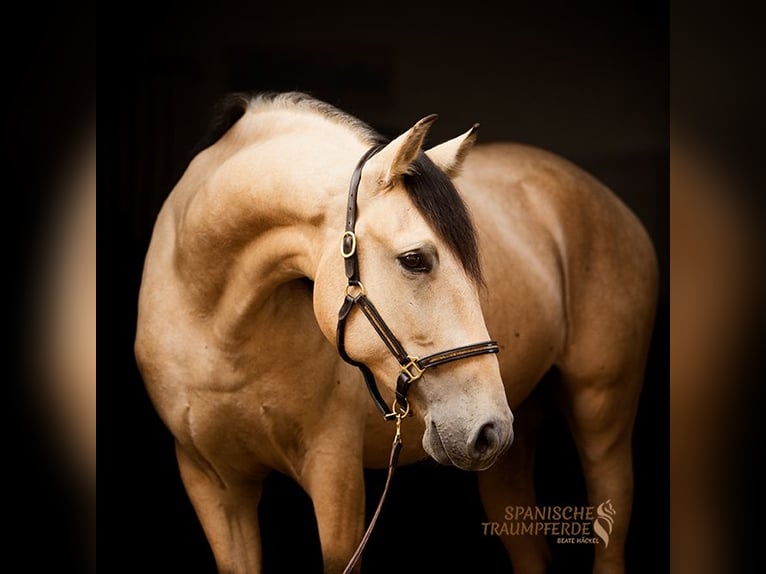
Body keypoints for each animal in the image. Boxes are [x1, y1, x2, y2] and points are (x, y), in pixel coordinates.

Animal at [135, 91, 657, 574]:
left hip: (602, 417)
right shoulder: (213, 487)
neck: (216, 330)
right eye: (415, 259)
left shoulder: (335, 476)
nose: (490, 428)